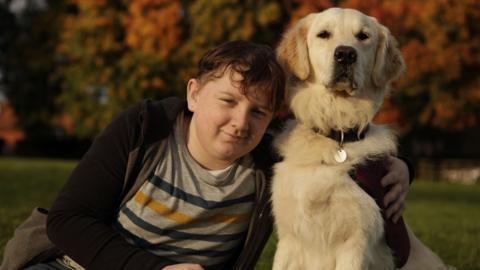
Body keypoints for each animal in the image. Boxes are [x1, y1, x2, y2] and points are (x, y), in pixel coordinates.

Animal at [272, 7, 452, 268]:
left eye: (363, 36)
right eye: (323, 34)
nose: (345, 54)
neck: (337, 135)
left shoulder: (356, 242)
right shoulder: (289, 240)